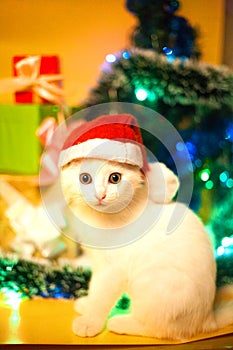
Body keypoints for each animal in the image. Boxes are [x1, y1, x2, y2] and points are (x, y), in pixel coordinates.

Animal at [60, 159, 233, 340]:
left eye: (115, 178)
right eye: (85, 178)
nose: (100, 195)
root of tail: (208, 318)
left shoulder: (113, 271)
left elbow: (101, 297)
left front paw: (89, 322)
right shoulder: (99, 264)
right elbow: (95, 288)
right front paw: (87, 304)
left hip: (149, 286)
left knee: (160, 329)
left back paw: (121, 322)